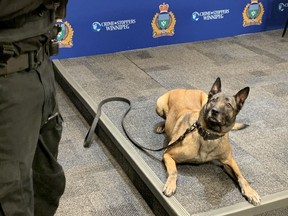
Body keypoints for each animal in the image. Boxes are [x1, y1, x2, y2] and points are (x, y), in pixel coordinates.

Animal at [155, 77, 260, 206]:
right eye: (214, 100)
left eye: (228, 105)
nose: (215, 111)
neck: (209, 134)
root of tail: (186, 89)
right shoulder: (168, 154)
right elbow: (174, 171)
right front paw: (170, 185)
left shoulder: (228, 161)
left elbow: (241, 176)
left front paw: (251, 192)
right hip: (159, 105)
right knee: (164, 118)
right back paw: (161, 126)